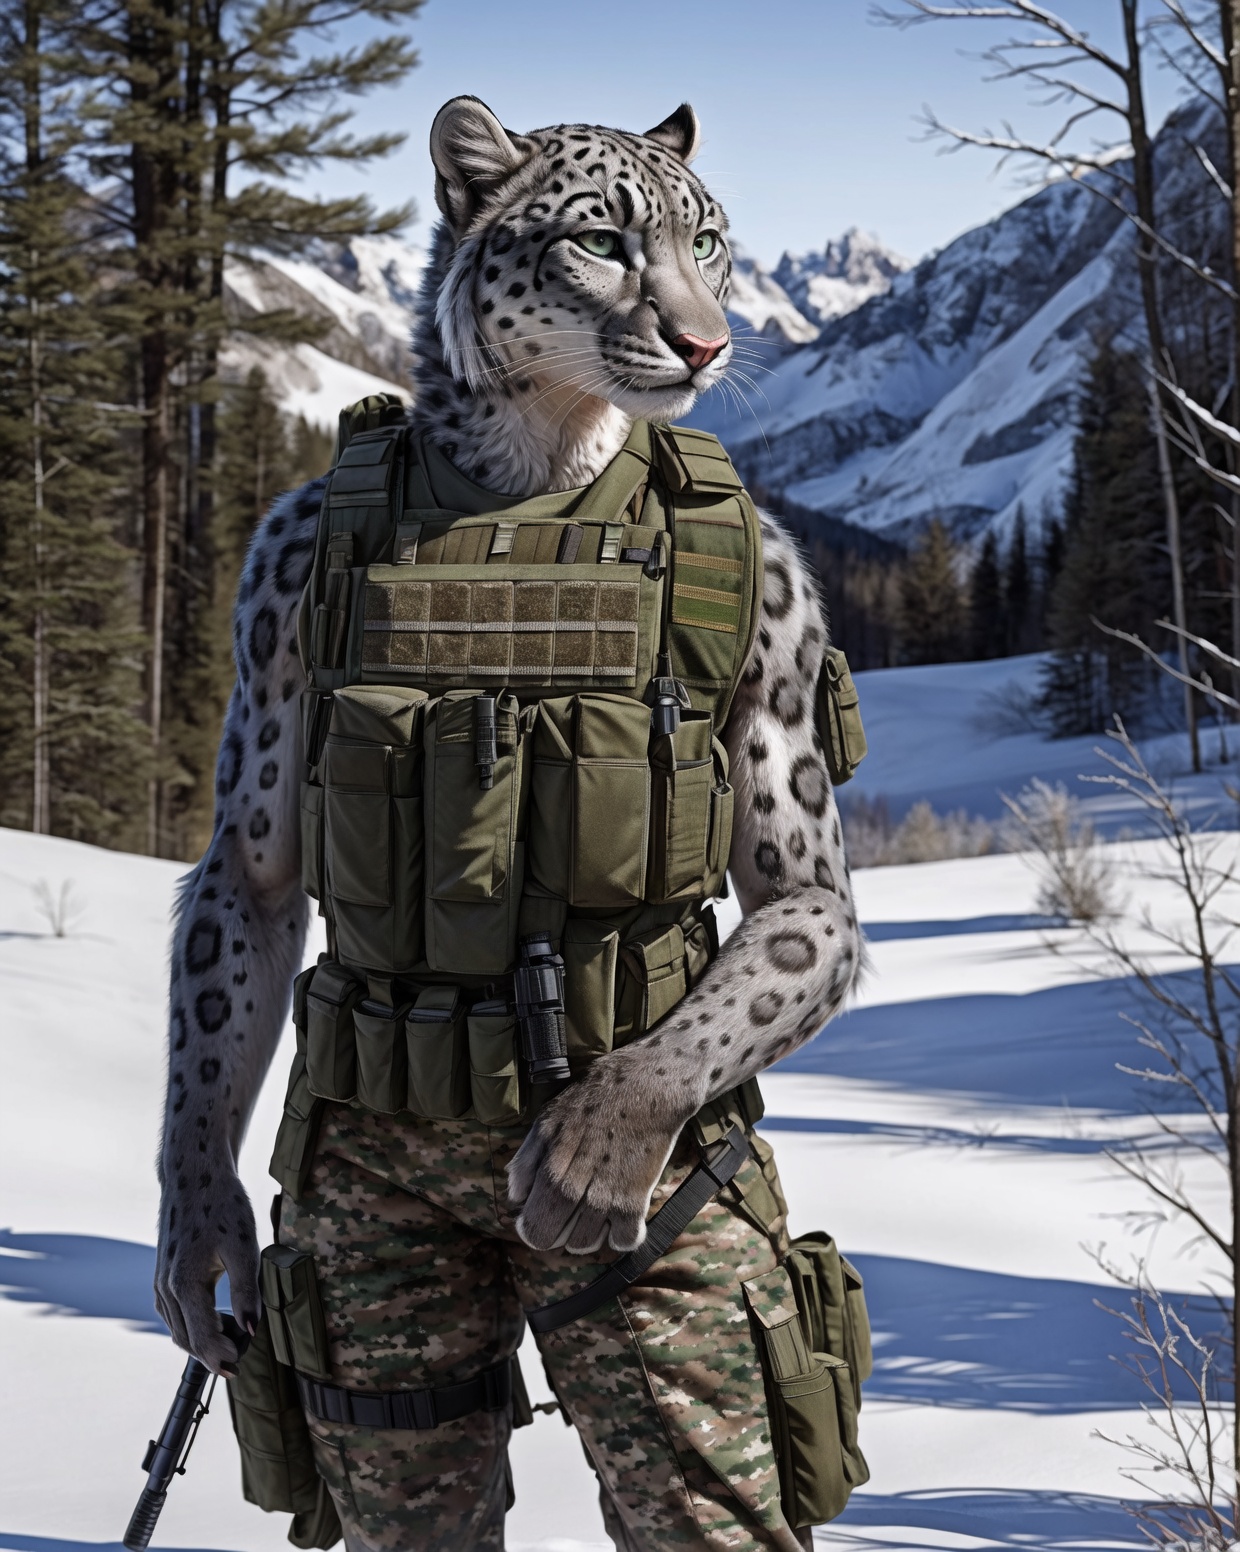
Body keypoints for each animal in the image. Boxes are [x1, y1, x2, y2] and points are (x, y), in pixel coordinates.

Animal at [153, 95, 863, 1381]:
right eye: (599, 240)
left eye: (708, 242)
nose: (705, 345)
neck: (534, 475)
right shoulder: (270, 586)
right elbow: (251, 880)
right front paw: (199, 1223)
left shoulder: (783, 618)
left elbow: (799, 909)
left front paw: (596, 1140)